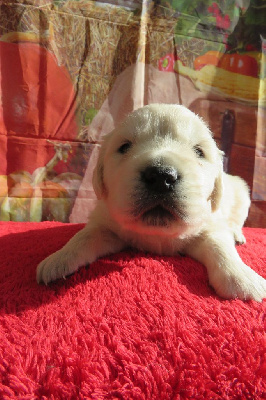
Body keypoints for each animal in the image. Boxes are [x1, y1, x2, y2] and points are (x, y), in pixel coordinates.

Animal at [37, 104, 266, 302]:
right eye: (124, 146)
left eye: (199, 151)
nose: (161, 177)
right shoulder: (106, 222)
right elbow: (84, 236)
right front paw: (59, 259)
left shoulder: (210, 224)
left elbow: (220, 246)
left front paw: (242, 279)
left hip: (242, 192)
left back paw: (237, 235)